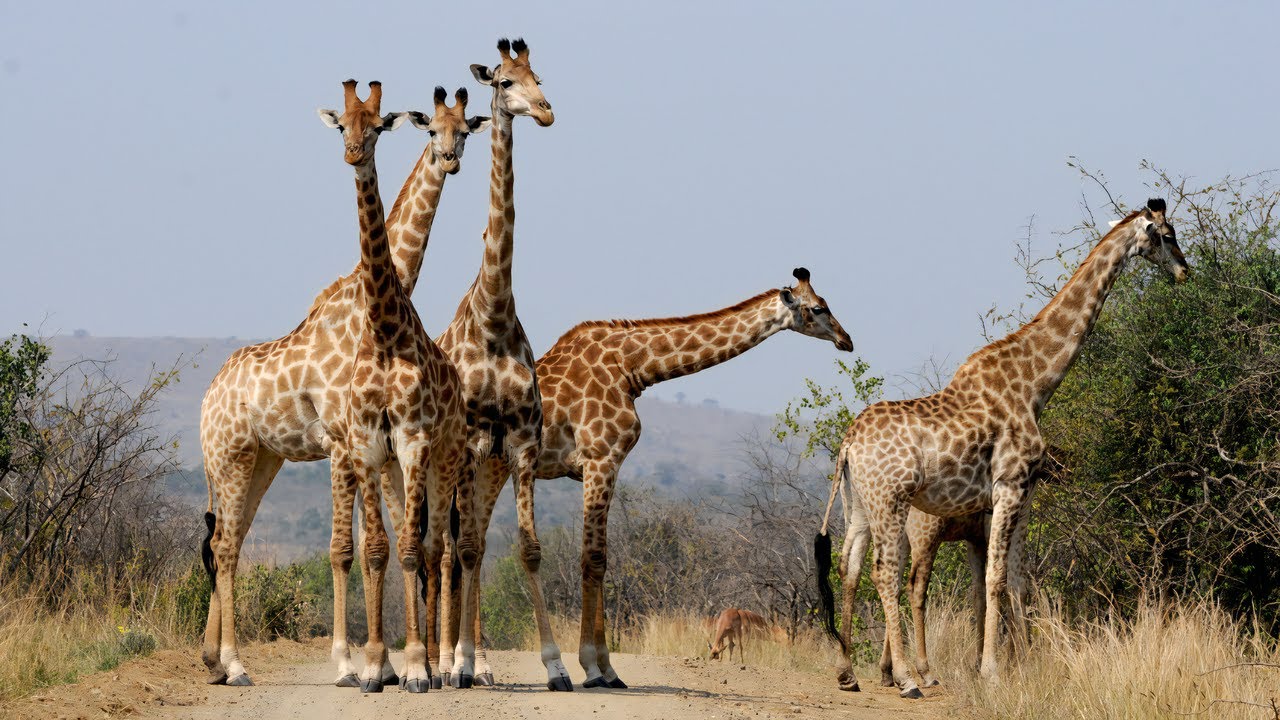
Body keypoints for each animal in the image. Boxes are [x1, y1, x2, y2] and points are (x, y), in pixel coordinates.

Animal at [196, 82, 486, 689]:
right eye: (432, 130)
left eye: (465, 130)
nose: (449, 159)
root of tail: (207, 397)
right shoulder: (340, 441)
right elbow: (343, 549)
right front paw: (351, 663)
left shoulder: (364, 444)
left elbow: (374, 544)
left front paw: (385, 664)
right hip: (229, 456)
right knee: (226, 545)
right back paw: (233, 664)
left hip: (261, 459)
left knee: (228, 539)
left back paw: (214, 659)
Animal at [532, 268, 853, 688]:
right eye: (818, 307)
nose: (847, 340)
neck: (631, 367)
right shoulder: (600, 459)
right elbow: (593, 560)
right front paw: (595, 668)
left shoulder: (602, 465)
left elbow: (599, 559)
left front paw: (604, 668)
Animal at [818, 198, 1187, 698]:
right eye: (1166, 235)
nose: (1184, 270)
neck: (1035, 384)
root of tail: (848, 443)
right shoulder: (1010, 485)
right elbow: (995, 579)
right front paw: (992, 670)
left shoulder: (1017, 494)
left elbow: (1013, 579)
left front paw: (1012, 665)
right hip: (891, 500)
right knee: (887, 572)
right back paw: (909, 678)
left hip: (857, 503)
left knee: (850, 566)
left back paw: (847, 672)